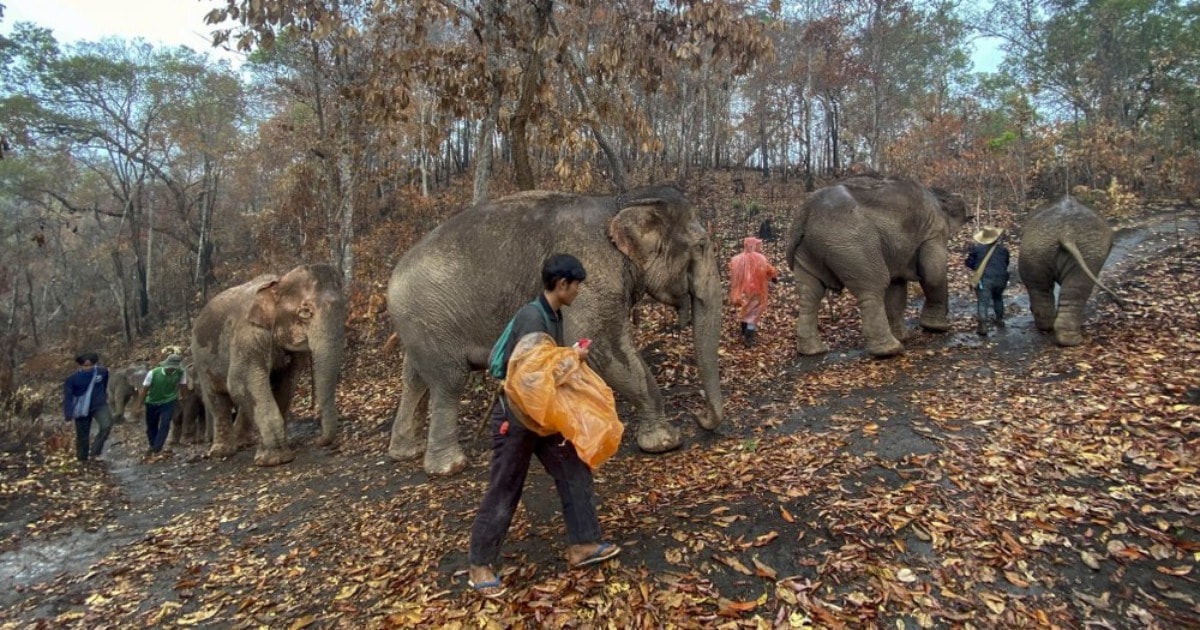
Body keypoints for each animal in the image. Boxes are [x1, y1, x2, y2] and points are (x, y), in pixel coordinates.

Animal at [189, 262, 345, 463]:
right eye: (305, 312)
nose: (318, 441)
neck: (276, 284)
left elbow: (285, 384)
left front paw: (278, 452)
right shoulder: (248, 336)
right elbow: (240, 382)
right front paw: (275, 459)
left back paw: (242, 443)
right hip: (201, 358)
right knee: (217, 398)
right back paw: (221, 452)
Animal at [388, 184, 720, 475]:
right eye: (701, 245)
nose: (699, 416)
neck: (621, 201)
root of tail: (390, 283)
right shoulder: (592, 279)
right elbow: (604, 349)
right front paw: (665, 442)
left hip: (420, 327)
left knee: (414, 379)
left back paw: (405, 452)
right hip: (432, 319)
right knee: (449, 383)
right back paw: (449, 467)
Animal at [787, 174, 974, 355]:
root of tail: (806, 213)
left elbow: (897, 287)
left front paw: (905, 336)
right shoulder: (933, 231)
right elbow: (933, 273)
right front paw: (937, 329)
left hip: (807, 250)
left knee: (810, 294)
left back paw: (813, 351)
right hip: (854, 245)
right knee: (873, 287)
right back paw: (891, 350)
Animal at [1012, 195, 1123, 345]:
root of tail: (1067, 234)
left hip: (1036, 248)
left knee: (1042, 287)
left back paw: (1051, 330)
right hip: (1086, 251)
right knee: (1075, 289)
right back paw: (1071, 340)